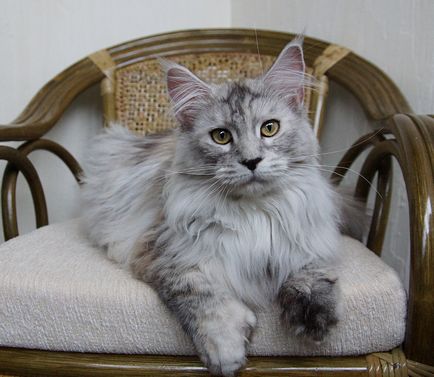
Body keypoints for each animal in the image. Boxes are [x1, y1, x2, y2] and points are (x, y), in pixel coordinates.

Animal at [81, 39, 350, 376]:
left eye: (269, 129)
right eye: (221, 136)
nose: (251, 161)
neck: (253, 214)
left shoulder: (306, 240)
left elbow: (310, 274)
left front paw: (315, 319)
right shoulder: (162, 252)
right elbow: (201, 297)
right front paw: (225, 350)